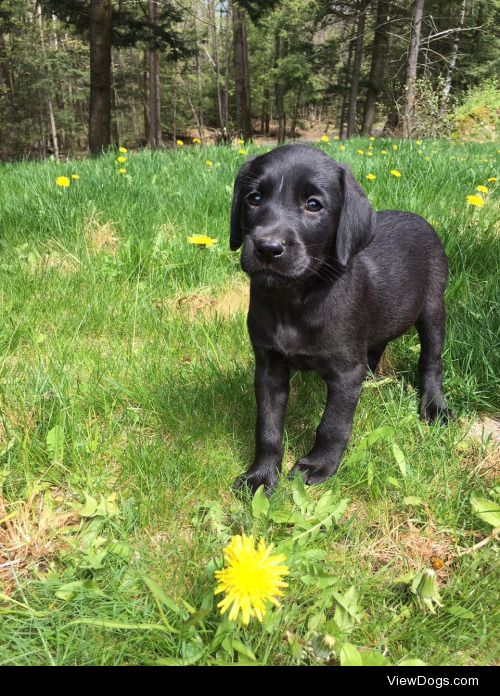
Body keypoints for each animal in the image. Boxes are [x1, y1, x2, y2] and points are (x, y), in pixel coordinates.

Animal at [230, 144, 454, 492]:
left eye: (313, 205)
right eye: (254, 198)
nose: (268, 247)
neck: (296, 298)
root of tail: (418, 218)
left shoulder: (346, 372)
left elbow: (333, 424)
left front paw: (318, 465)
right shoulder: (269, 368)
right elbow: (267, 426)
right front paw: (261, 475)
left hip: (432, 308)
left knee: (431, 360)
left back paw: (433, 406)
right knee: (376, 346)